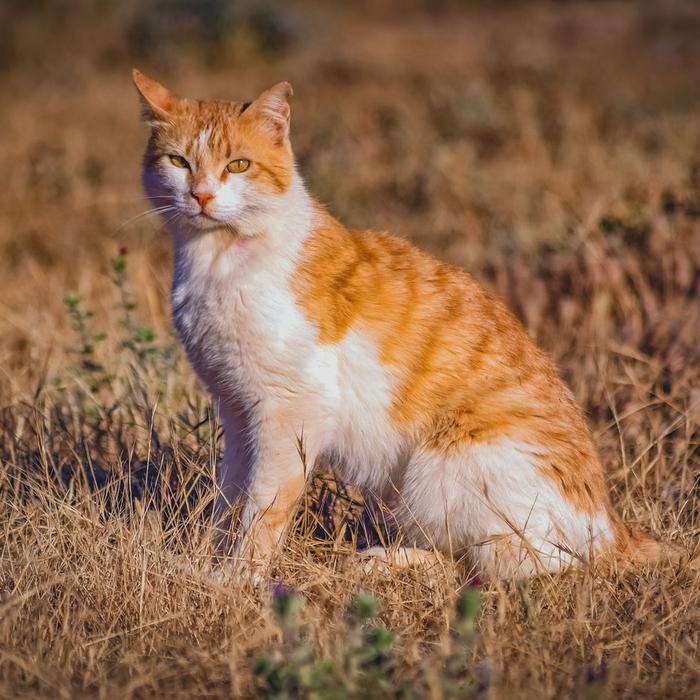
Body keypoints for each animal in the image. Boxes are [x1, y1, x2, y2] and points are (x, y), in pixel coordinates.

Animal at [133, 68, 680, 576]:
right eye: (180, 162)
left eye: (239, 165)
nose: (202, 195)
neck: (218, 259)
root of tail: (613, 525)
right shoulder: (236, 408)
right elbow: (230, 499)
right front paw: (205, 564)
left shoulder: (292, 410)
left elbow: (263, 507)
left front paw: (236, 579)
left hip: (444, 467)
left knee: (519, 564)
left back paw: (385, 562)